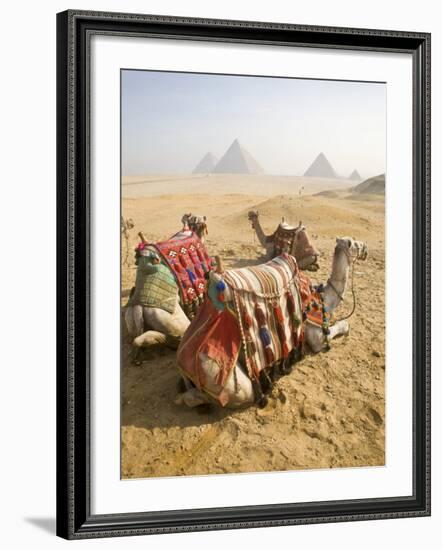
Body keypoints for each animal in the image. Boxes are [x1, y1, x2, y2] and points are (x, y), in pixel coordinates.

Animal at [176, 237, 370, 410]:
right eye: (355, 243)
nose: (365, 248)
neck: (322, 299)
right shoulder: (314, 336)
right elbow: (337, 328)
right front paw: (345, 328)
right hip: (225, 380)